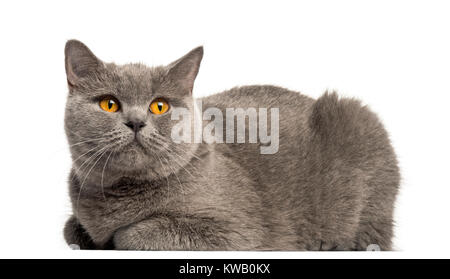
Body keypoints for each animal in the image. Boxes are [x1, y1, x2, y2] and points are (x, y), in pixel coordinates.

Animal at [63, 40, 400, 252]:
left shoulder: (239, 231)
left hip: (356, 123)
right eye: (109, 104)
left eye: (159, 106)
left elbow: (134, 233)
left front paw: (115, 236)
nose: (135, 122)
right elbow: (72, 229)